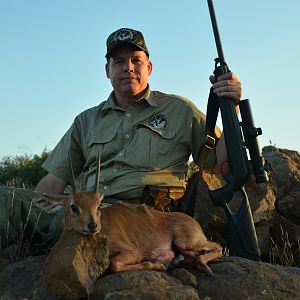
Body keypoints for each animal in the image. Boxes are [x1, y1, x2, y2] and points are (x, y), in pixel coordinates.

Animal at [34, 158, 223, 276]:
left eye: (98, 205)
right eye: (74, 207)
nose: (93, 225)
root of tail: (193, 222)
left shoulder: (132, 251)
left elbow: (114, 264)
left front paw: (156, 265)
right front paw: (160, 263)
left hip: (186, 242)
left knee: (217, 247)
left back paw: (205, 269)